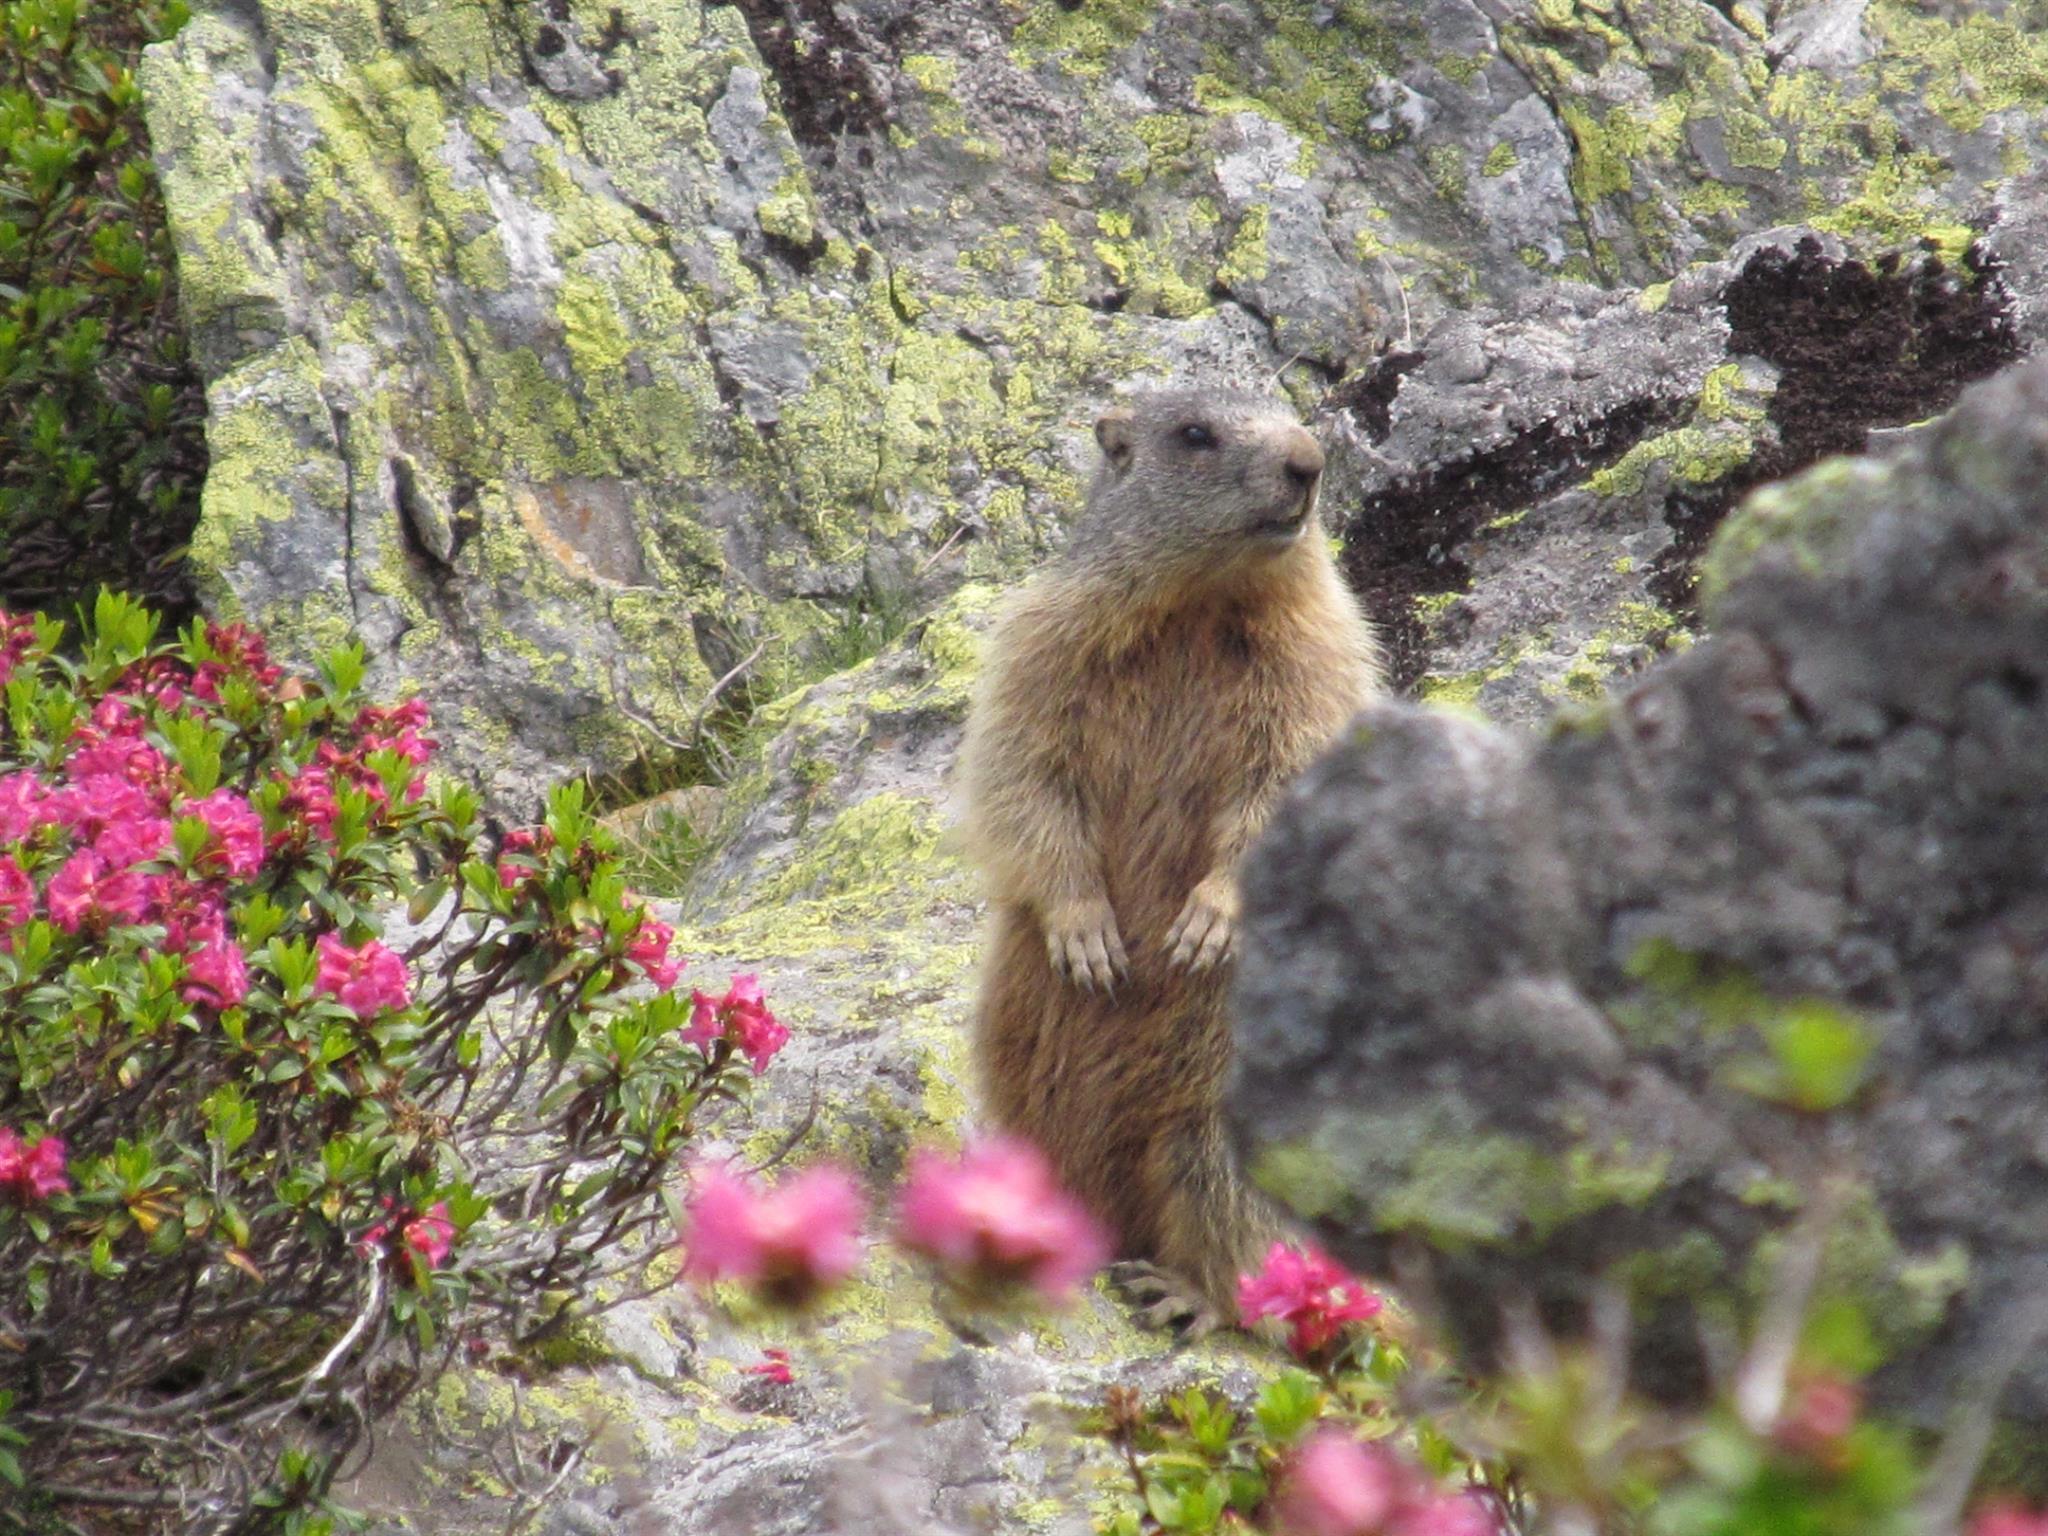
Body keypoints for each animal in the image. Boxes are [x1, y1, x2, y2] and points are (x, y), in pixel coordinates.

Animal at [957, 388, 1385, 1326]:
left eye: (1295, 412)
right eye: (1195, 434)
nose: (1310, 461)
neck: (1202, 605)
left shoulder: (1319, 663)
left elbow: (1282, 779)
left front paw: (1207, 924)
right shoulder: (1044, 640)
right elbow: (1027, 769)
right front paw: (1087, 932)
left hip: (1222, 1130)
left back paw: (1187, 1292)